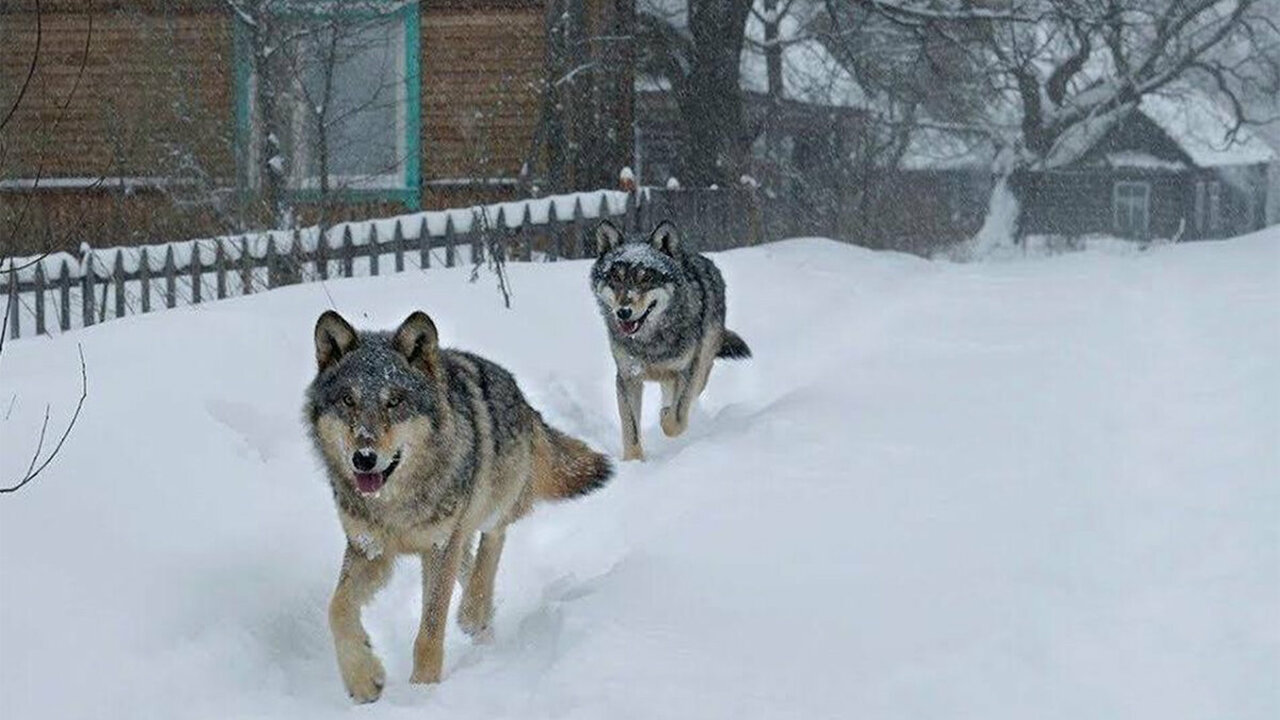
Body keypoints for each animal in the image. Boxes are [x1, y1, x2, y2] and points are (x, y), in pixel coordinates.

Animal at [307, 310, 611, 702]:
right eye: (348, 401)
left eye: (395, 402)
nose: (364, 459)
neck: (397, 504)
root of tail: (522, 397)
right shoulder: (369, 549)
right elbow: (338, 609)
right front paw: (363, 678)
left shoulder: (439, 547)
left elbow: (431, 628)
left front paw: (423, 690)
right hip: (458, 537)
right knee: (470, 564)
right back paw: (481, 622)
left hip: (490, 507)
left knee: (492, 544)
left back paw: (473, 611)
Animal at [588, 219, 747, 458]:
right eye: (616, 277)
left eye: (646, 278)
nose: (623, 312)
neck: (650, 342)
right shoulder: (628, 377)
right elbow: (631, 430)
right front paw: (634, 462)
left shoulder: (686, 372)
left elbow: (676, 420)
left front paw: (665, 416)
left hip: (701, 367)